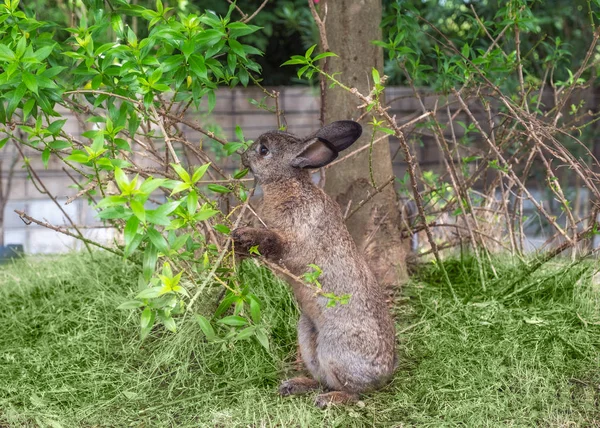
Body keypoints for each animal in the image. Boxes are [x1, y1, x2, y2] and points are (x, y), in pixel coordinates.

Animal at [232, 119, 396, 408]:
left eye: (264, 150)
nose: (243, 157)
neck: (289, 183)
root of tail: (384, 376)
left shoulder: (294, 240)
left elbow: (272, 242)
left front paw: (242, 235)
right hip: (307, 336)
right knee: (322, 378)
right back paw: (294, 385)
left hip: (336, 350)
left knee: (354, 393)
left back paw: (328, 400)